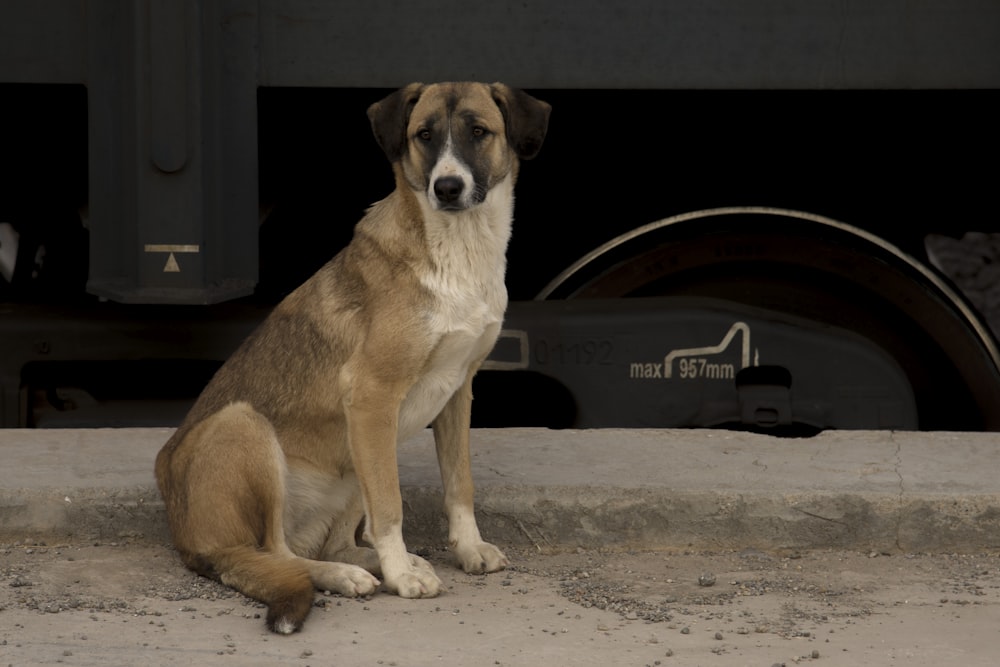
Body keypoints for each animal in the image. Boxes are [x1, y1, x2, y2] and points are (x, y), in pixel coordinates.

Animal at [152, 81, 552, 636]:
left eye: (478, 131)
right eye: (424, 135)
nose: (447, 187)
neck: (457, 251)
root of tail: (193, 541)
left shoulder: (457, 390)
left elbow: (460, 483)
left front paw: (466, 549)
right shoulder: (370, 396)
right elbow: (391, 507)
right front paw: (402, 578)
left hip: (353, 459)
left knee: (328, 543)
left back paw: (368, 564)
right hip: (245, 425)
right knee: (281, 555)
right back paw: (353, 574)